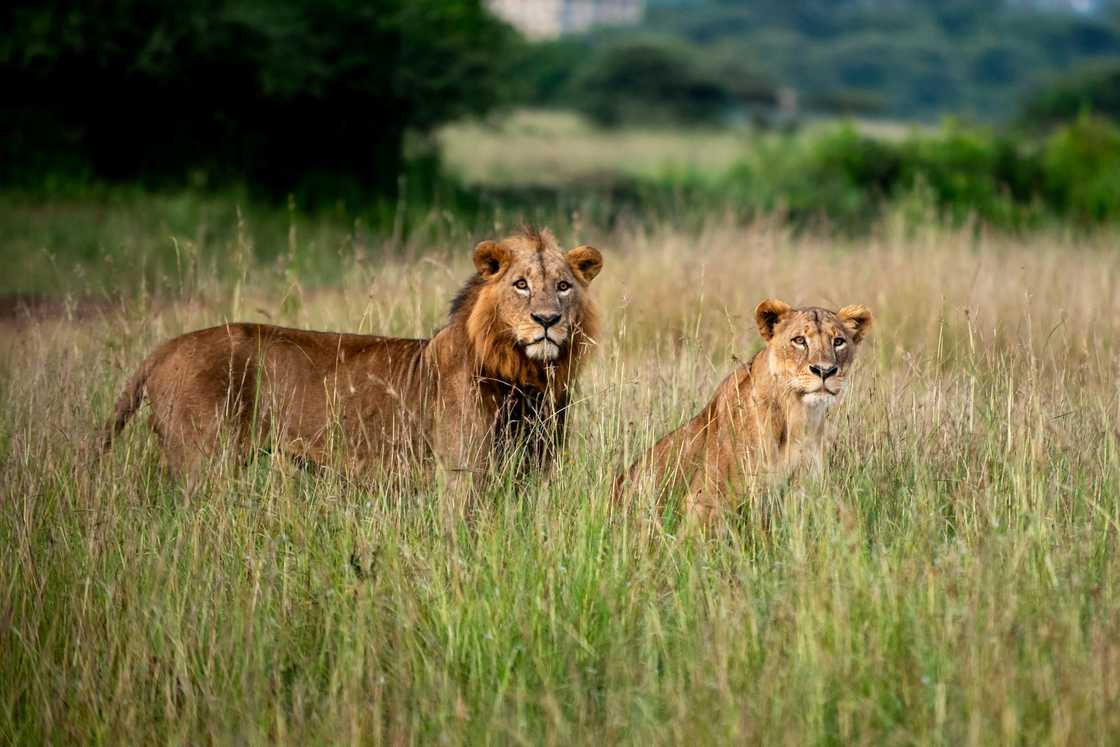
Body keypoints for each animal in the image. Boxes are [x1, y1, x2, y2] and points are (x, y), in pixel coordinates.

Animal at [101, 229, 603, 487]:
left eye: (564, 286)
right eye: (520, 284)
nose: (547, 320)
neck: (526, 376)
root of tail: (162, 349)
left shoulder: (534, 471)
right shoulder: (461, 473)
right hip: (203, 462)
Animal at [614, 299, 872, 527]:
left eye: (838, 341)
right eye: (799, 340)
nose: (825, 370)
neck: (798, 415)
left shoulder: (804, 494)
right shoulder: (703, 501)